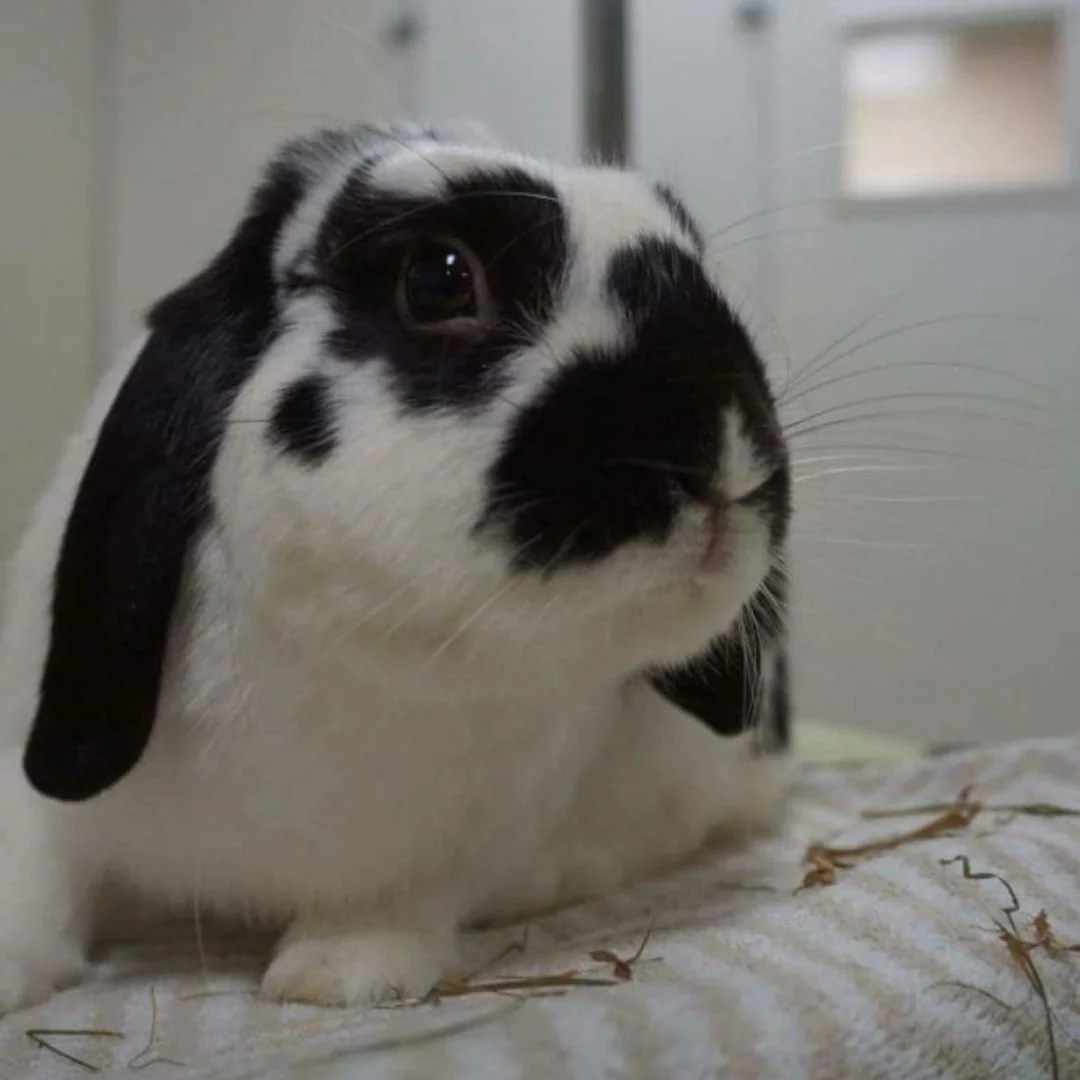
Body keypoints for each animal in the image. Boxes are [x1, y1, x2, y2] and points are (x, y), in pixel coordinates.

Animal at [0, 124, 792, 1011]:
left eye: (697, 262)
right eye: (438, 280)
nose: (729, 456)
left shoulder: (460, 839)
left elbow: (394, 899)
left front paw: (340, 973)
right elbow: (33, 873)